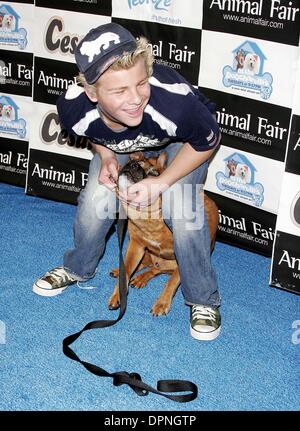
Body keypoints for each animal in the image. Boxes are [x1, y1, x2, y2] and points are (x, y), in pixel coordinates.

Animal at [108, 153, 218, 318]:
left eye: (154, 173)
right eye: (134, 160)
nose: (133, 164)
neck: (150, 218)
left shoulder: (182, 260)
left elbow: (172, 281)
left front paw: (162, 303)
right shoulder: (136, 246)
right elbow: (127, 269)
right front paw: (119, 292)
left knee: (157, 270)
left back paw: (142, 278)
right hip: (145, 253)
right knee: (148, 266)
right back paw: (127, 273)